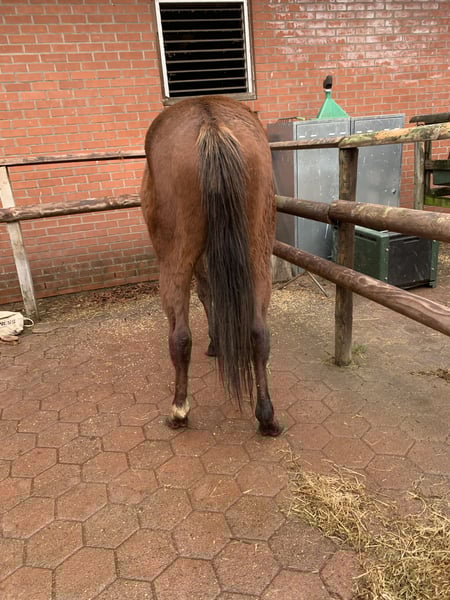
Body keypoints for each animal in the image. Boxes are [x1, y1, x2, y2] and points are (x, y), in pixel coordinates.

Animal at [140, 95, 282, 436]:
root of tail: (211, 123)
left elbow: (205, 295)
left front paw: (215, 341)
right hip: (257, 252)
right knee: (259, 332)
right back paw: (266, 416)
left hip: (174, 261)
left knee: (180, 336)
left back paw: (179, 410)